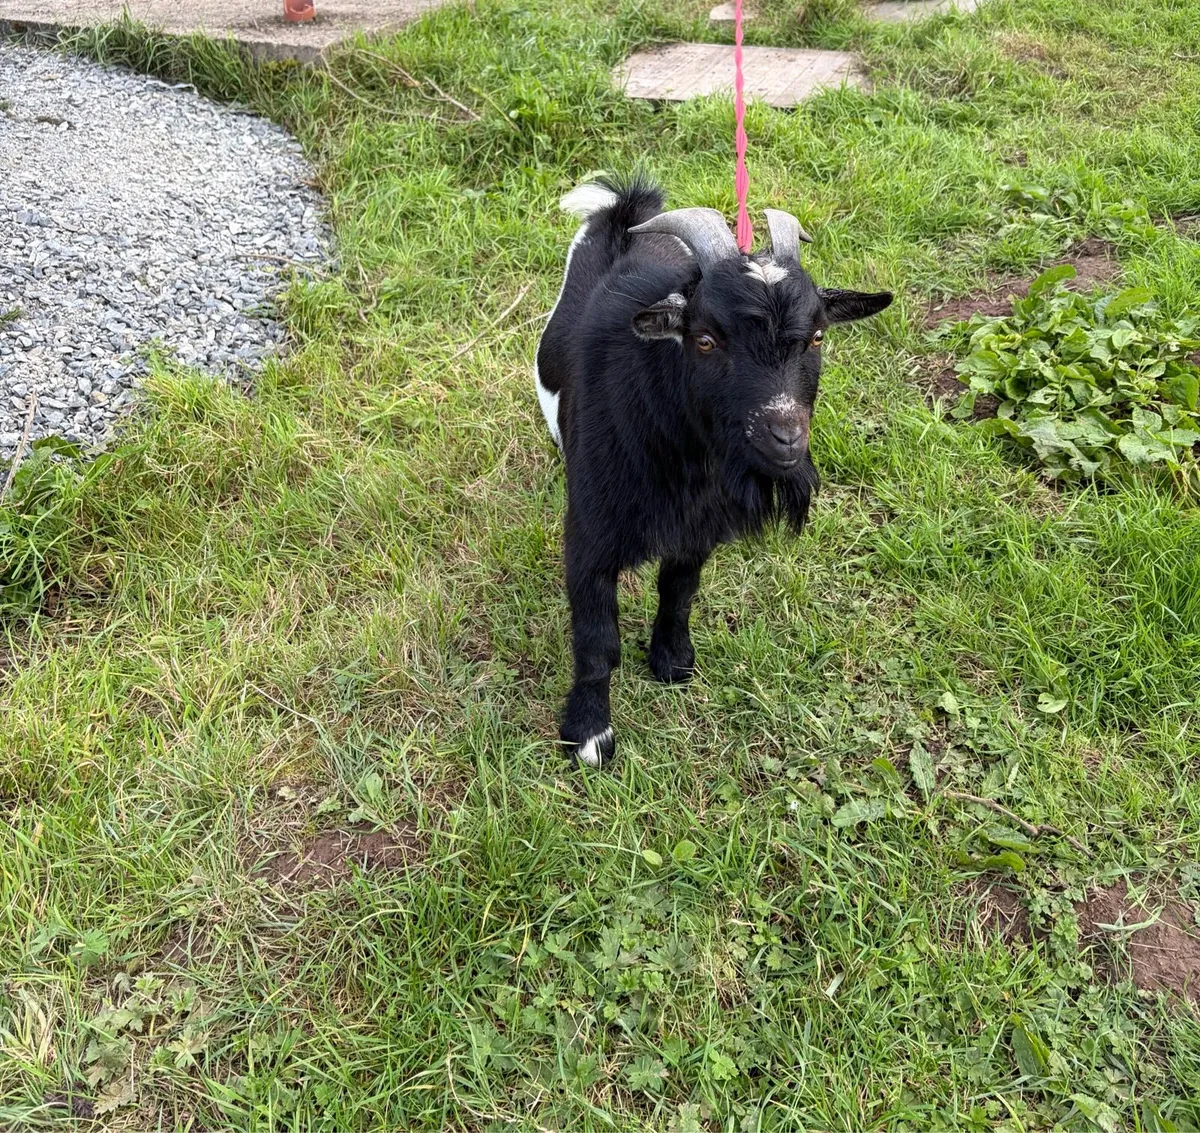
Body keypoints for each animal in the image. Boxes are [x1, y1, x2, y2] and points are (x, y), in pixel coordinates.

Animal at [534, 175, 892, 767]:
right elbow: (596, 639)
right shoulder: (589, 535)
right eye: (705, 339)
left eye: (818, 337)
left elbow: (679, 592)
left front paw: (672, 661)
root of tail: (624, 212)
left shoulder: (699, 527)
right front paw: (588, 735)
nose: (785, 438)